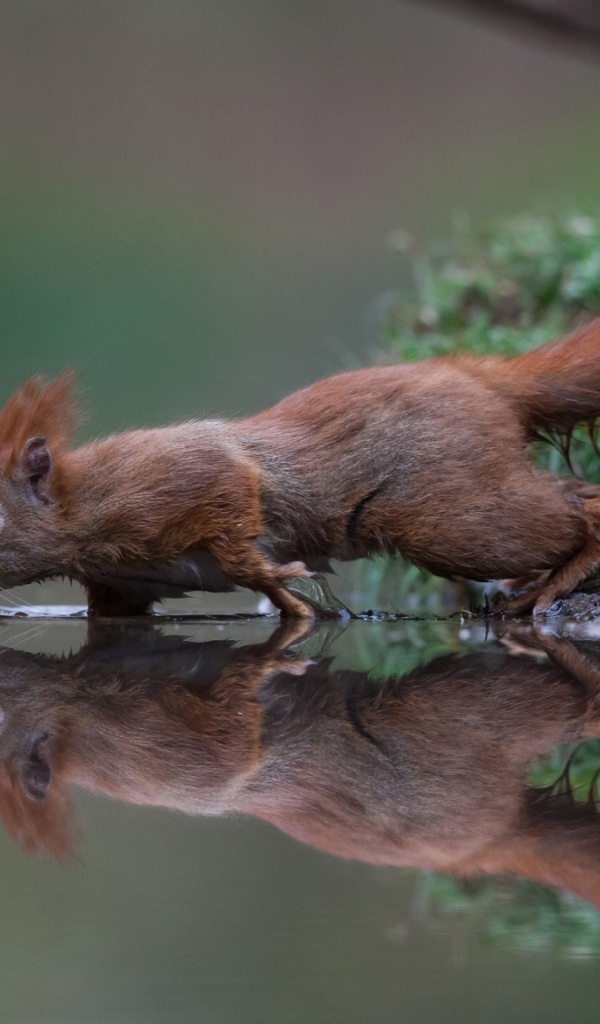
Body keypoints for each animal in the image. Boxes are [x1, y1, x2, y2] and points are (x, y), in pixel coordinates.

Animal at [2, 319, 600, 617]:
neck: (84, 505)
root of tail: (478, 378)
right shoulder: (119, 585)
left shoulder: (179, 478)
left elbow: (234, 509)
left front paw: (274, 578)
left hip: (453, 519)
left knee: (579, 505)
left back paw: (555, 581)